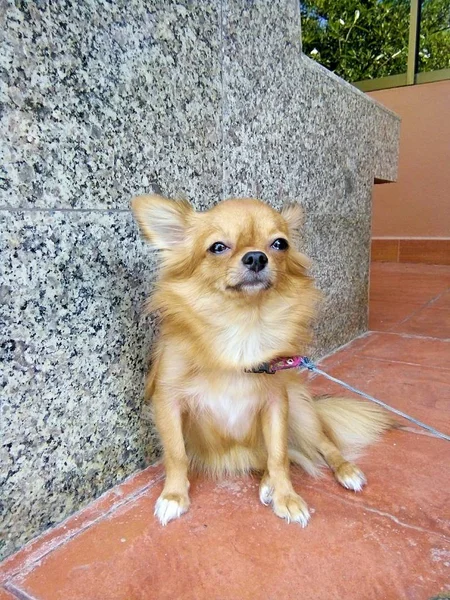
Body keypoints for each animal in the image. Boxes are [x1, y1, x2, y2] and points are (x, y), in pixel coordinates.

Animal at [132, 196, 392, 524]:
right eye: (218, 247)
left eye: (280, 244)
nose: (256, 257)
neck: (243, 330)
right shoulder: (168, 402)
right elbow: (176, 454)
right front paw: (174, 496)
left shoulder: (276, 404)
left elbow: (278, 454)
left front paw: (287, 497)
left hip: (299, 411)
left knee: (320, 445)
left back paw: (343, 471)